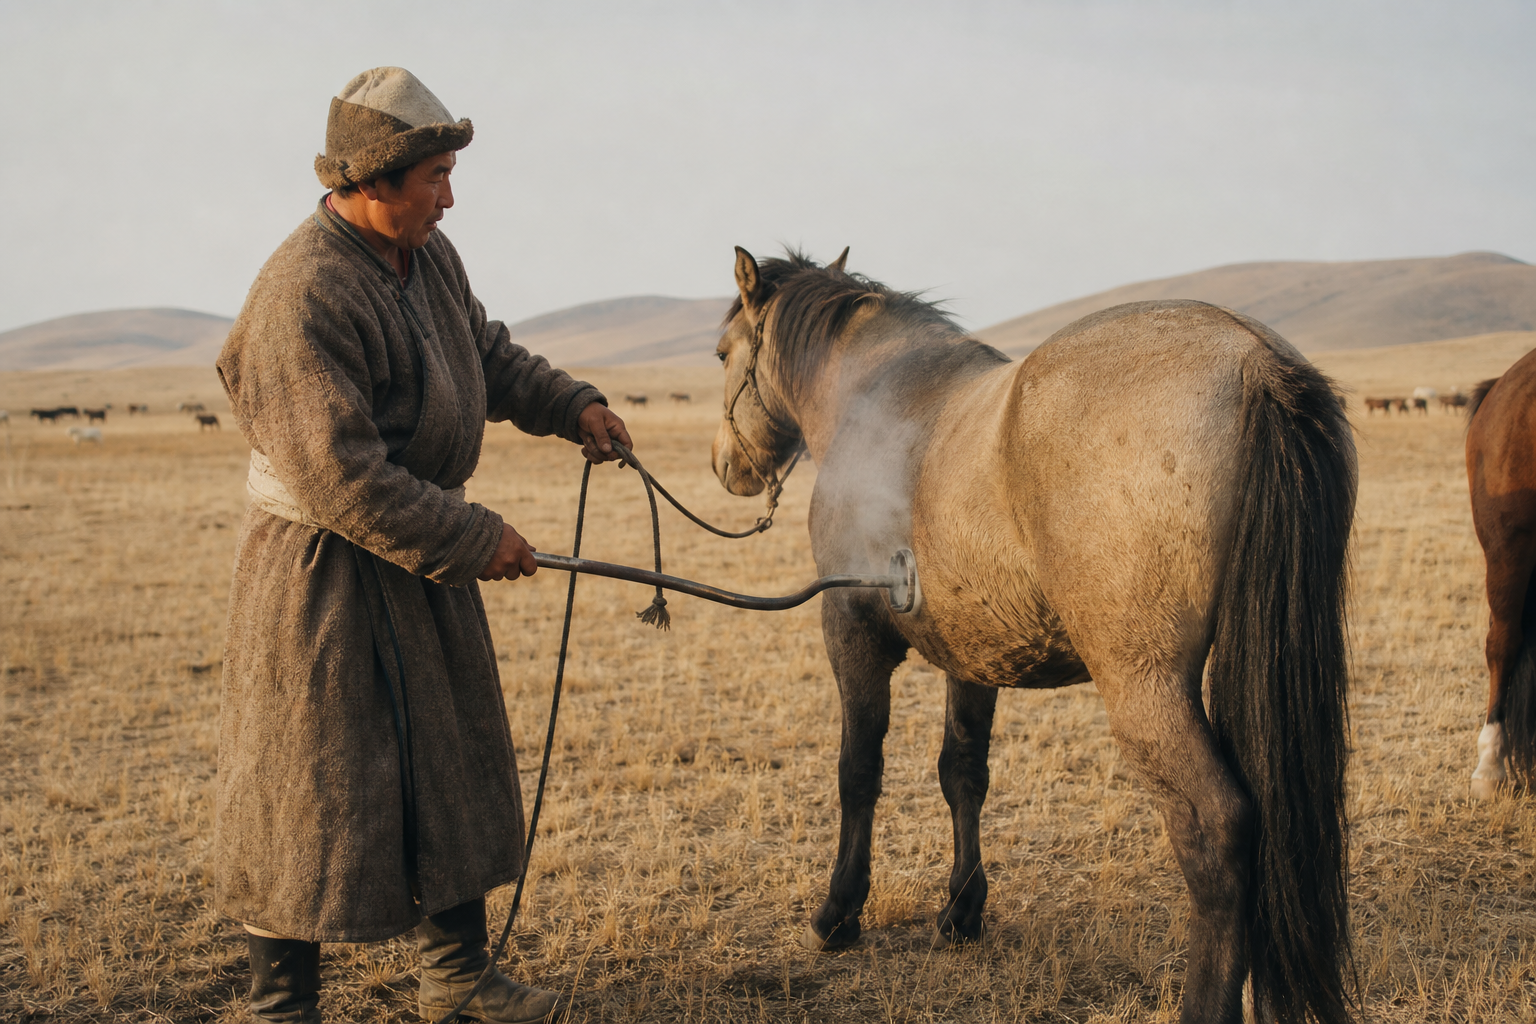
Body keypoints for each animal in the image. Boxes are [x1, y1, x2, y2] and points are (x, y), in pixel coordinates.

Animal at [710, 248, 1356, 1024]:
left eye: (722, 353)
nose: (726, 467)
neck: (875, 399)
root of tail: (1253, 361)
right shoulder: (973, 657)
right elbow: (963, 773)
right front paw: (961, 913)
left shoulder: (851, 633)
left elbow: (857, 771)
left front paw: (838, 915)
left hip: (1146, 688)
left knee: (1219, 828)